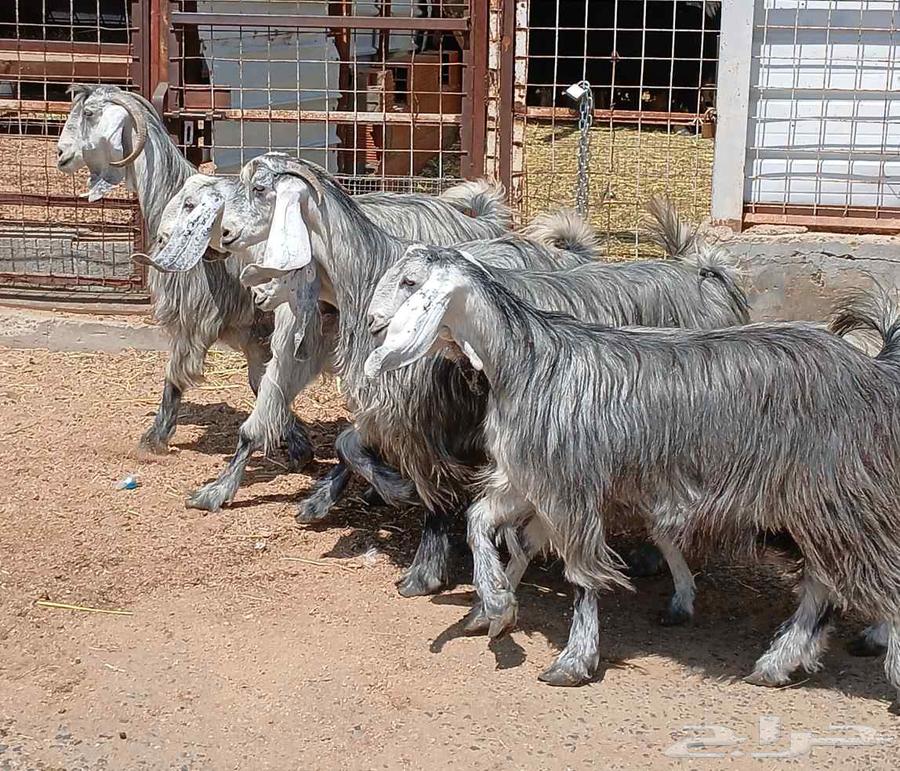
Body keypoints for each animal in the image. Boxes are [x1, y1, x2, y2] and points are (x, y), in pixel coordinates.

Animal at [365, 245, 900, 712]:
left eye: (410, 282)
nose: (372, 323)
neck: (531, 364)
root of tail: (873, 371)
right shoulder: (529, 480)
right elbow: (485, 524)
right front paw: (495, 606)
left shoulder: (570, 489)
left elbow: (580, 575)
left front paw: (573, 660)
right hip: (811, 506)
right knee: (823, 582)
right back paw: (778, 663)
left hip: (837, 496)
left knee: (865, 575)